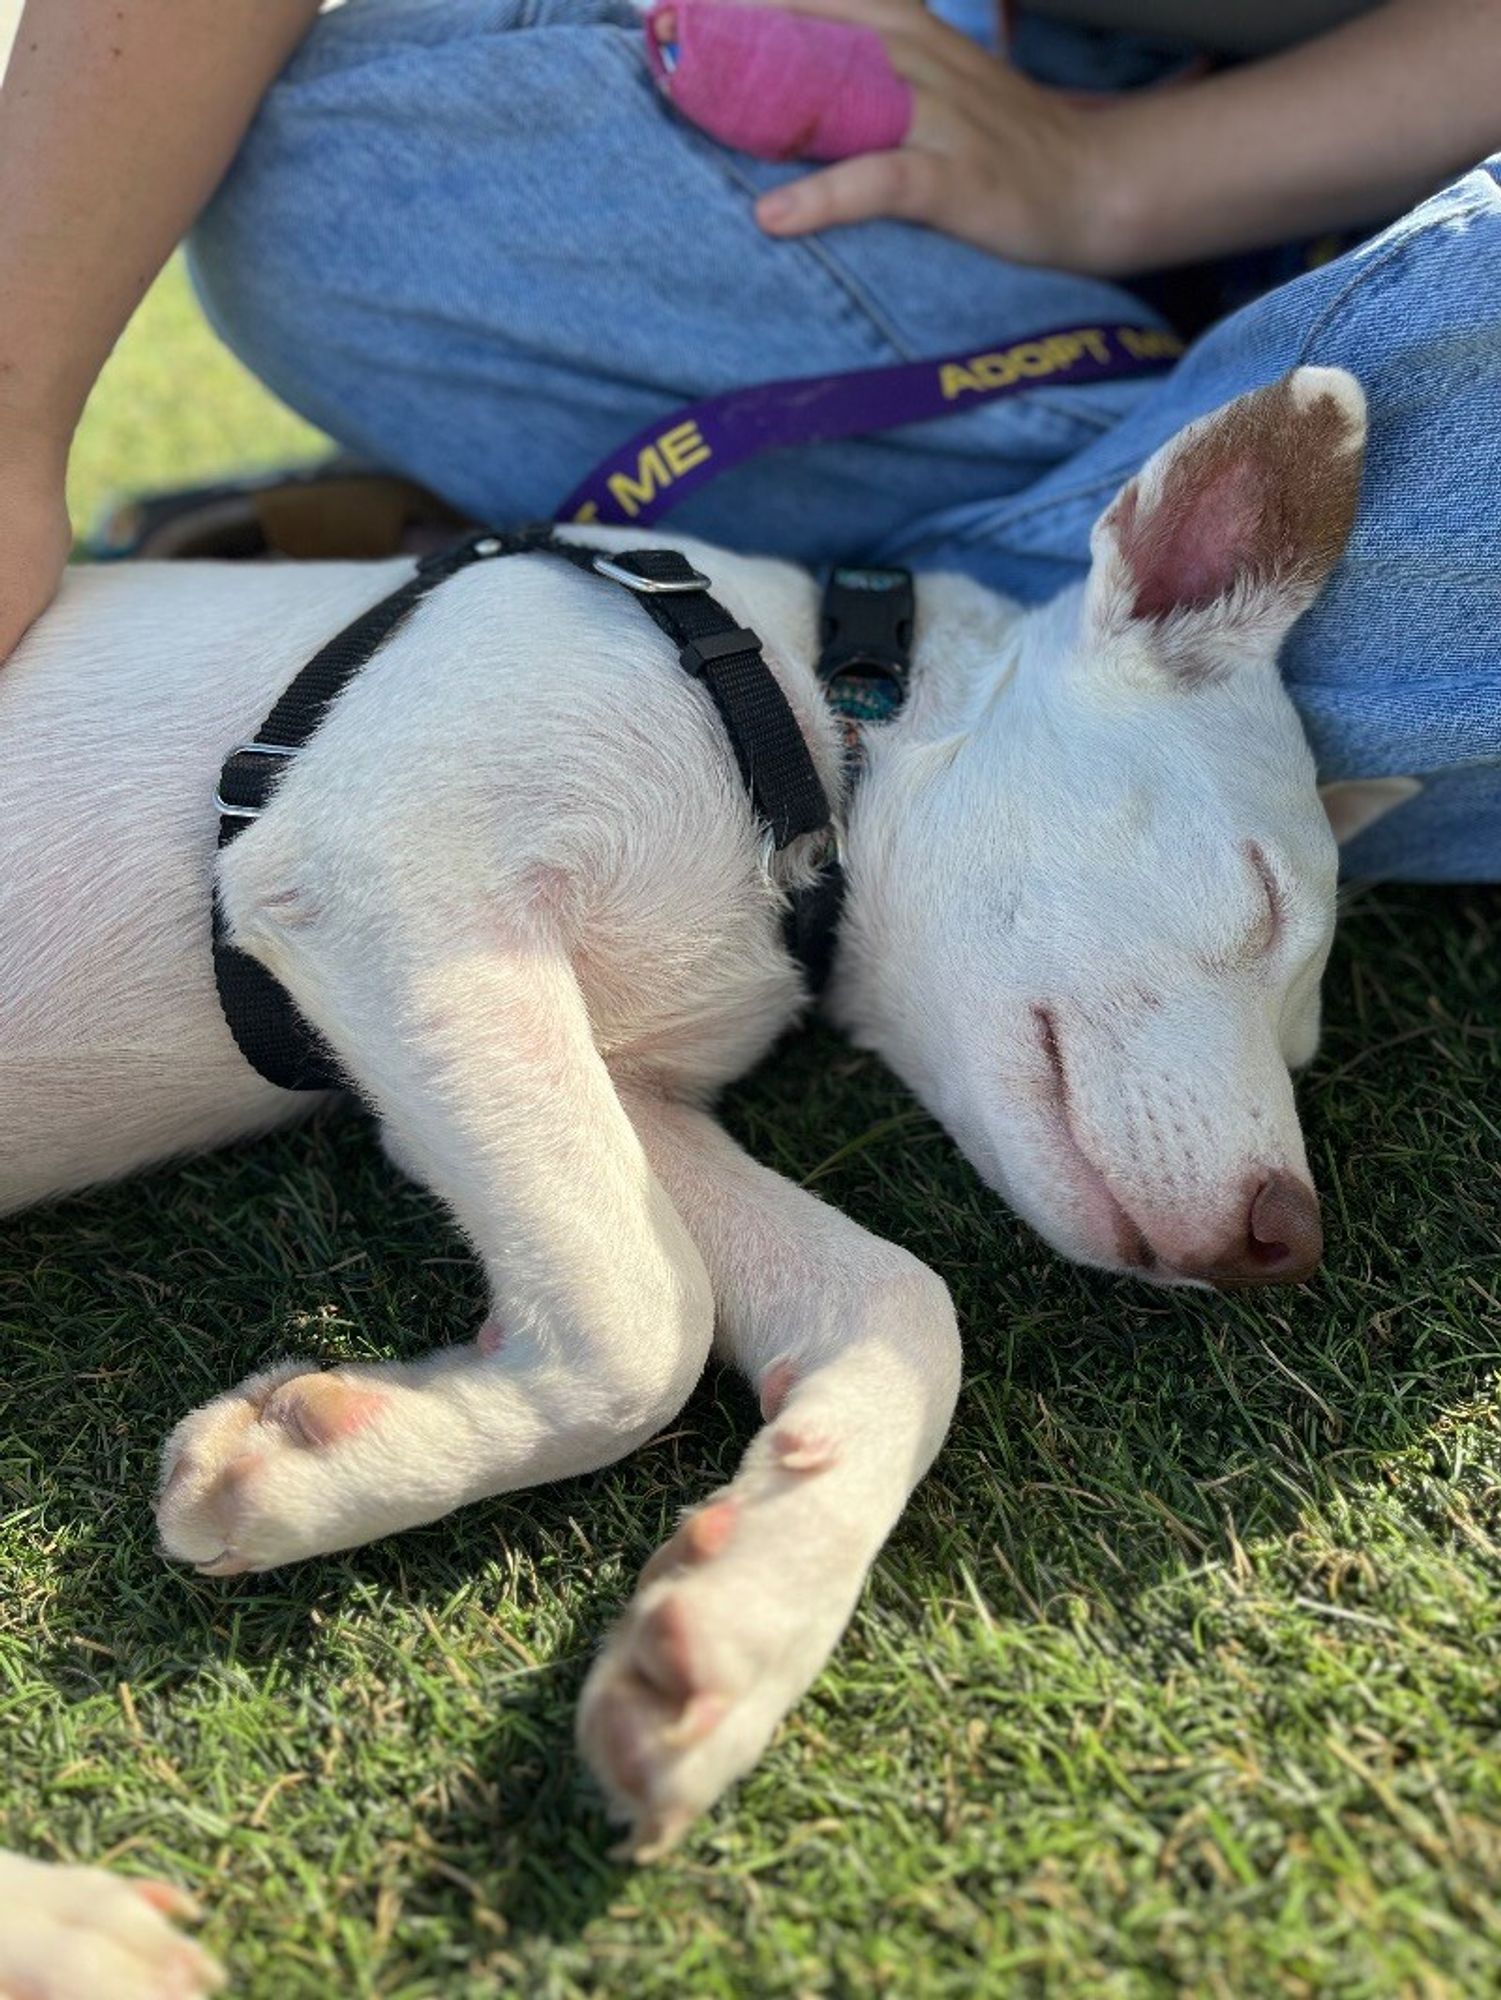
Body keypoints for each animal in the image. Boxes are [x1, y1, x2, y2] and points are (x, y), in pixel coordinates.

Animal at [0, 372, 1416, 1984]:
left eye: (1308, 1035)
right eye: (1260, 896)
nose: (1289, 1241)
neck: (812, 727)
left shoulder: (615, 1086)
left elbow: (894, 1305)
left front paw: (738, 1617)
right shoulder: (391, 884)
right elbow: (645, 1329)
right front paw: (322, 1466)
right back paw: (71, 1931)